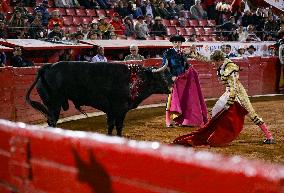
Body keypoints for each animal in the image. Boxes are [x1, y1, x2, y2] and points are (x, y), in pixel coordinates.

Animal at [25, 61, 172, 136]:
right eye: (161, 77)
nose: (171, 88)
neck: (134, 80)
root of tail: (46, 67)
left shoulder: (111, 111)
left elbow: (110, 126)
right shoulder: (120, 110)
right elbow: (119, 126)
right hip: (53, 104)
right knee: (52, 121)